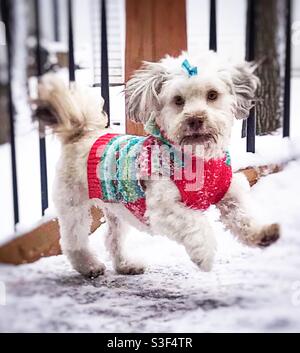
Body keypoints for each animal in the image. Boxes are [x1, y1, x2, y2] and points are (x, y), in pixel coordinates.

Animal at [35, 52, 282, 278]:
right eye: (178, 100)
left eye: (212, 95)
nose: (195, 118)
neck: (197, 159)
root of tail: (81, 133)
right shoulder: (164, 207)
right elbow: (196, 223)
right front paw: (204, 254)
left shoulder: (228, 193)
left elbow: (243, 216)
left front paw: (264, 232)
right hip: (73, 205)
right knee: (72, 241)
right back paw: (89, 266)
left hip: (118, 209)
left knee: (112, 238)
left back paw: (125, 265)